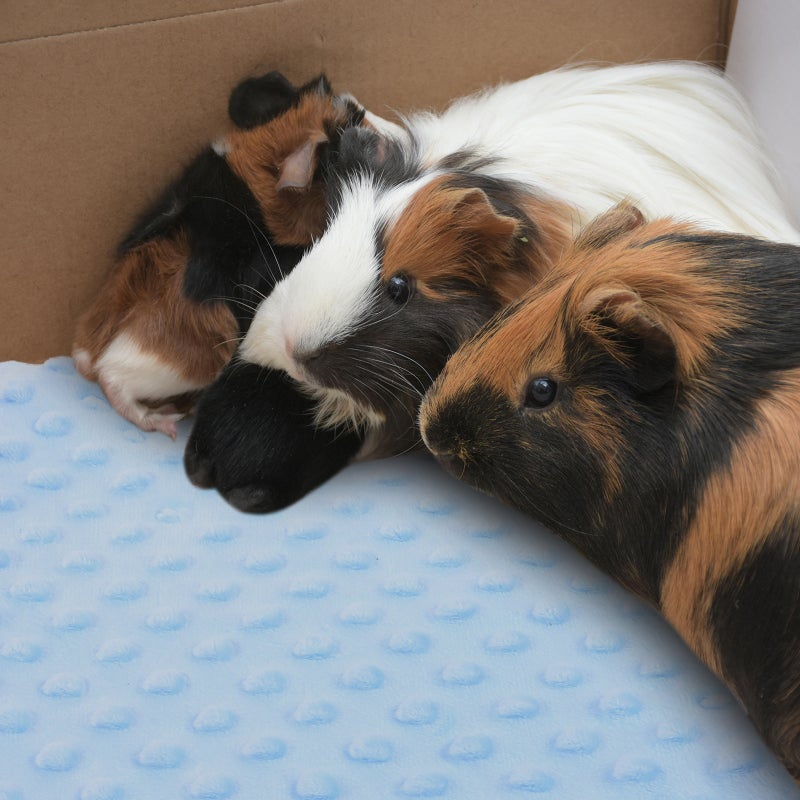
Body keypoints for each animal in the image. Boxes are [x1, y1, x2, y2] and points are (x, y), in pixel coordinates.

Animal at [72, 71, 367, 437]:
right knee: (115, 382)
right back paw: (167, 423)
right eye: (343, 137)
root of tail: (88, 353)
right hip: (181, 368)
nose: (361, 109)